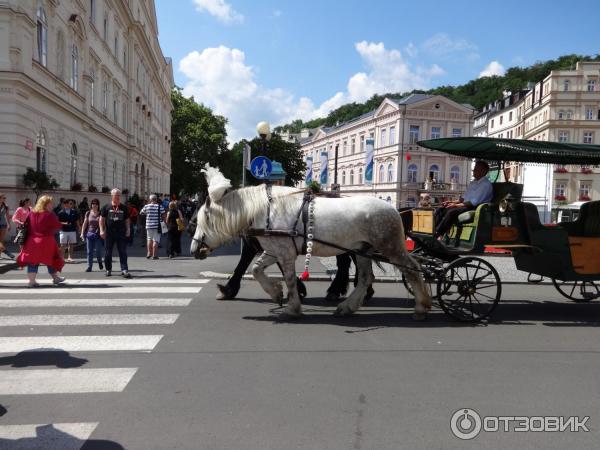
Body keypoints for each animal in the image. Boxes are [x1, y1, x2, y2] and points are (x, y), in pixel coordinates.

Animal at [192, 165, 432, 320]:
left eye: (204, 220)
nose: (194, 249)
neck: (266, 209)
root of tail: (394, 208)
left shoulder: (285, 253)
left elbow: (288, 278)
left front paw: (292, 307)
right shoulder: (274, 250)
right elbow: (256, 269)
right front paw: (276, 293)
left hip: (390, 247)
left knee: (411, 270)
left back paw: (421, 307)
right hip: (362, 250)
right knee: (365, 278)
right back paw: (348, 306)